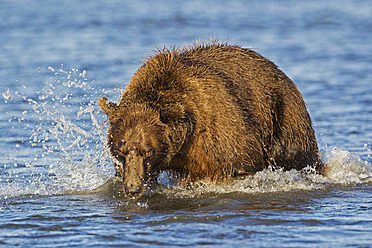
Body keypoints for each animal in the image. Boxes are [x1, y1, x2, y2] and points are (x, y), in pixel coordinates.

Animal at [98, 41, 320, 199]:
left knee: (298, 155)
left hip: (282, 112)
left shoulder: (219, 135)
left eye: (148, 151)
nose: (133, 189)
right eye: (120, 151)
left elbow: (239, 163)